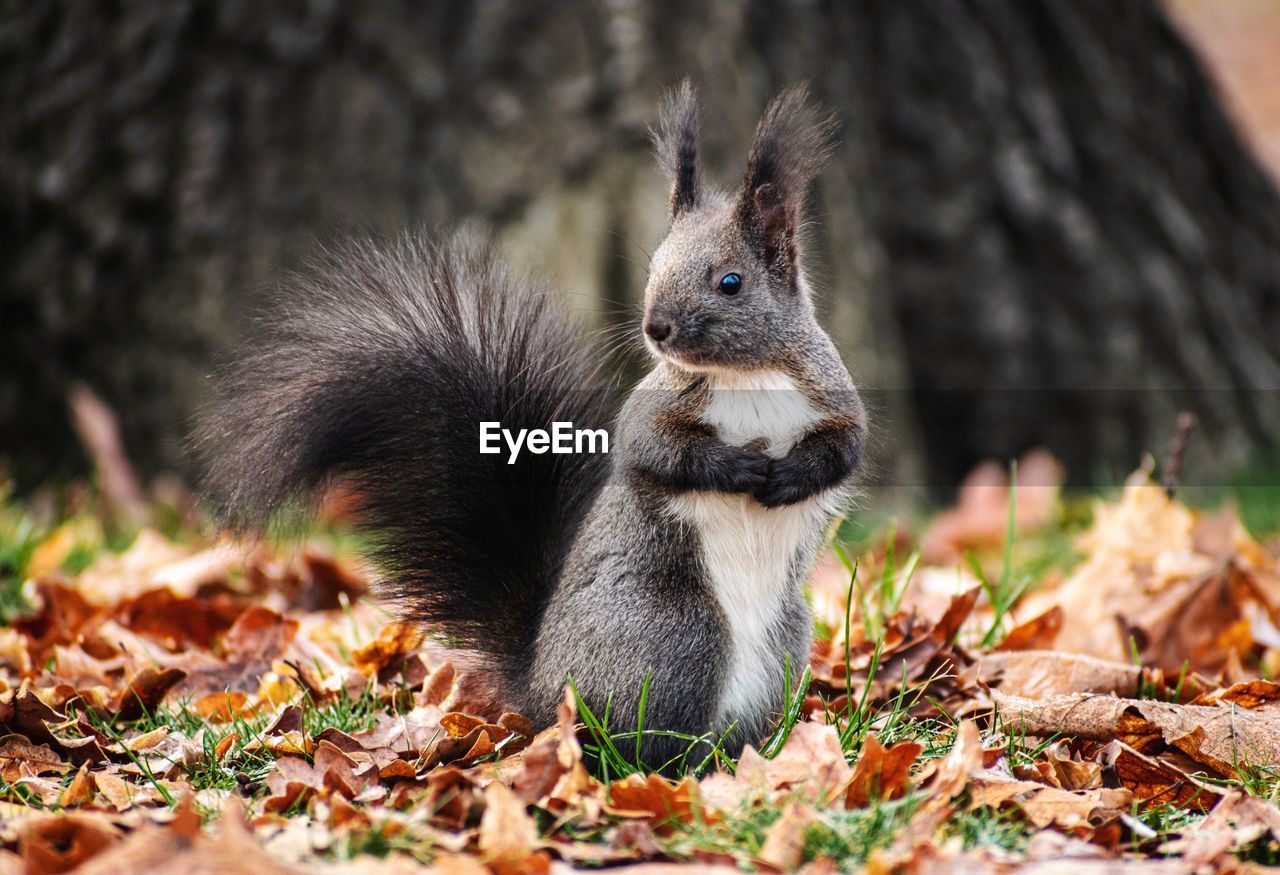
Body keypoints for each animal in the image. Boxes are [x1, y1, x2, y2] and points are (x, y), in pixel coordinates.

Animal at [202, 80, 860, 767]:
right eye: (653, 269)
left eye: (731, 282)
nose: (655, 328)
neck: (744, 376)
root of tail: (540, 690)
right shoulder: (651, 411)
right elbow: (657, 452)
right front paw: (741, 466)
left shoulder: (834, 399)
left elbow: (844, 448)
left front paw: (789, 476)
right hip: (672, 636)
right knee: (637, 739)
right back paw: (676, 763)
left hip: (780, 642)